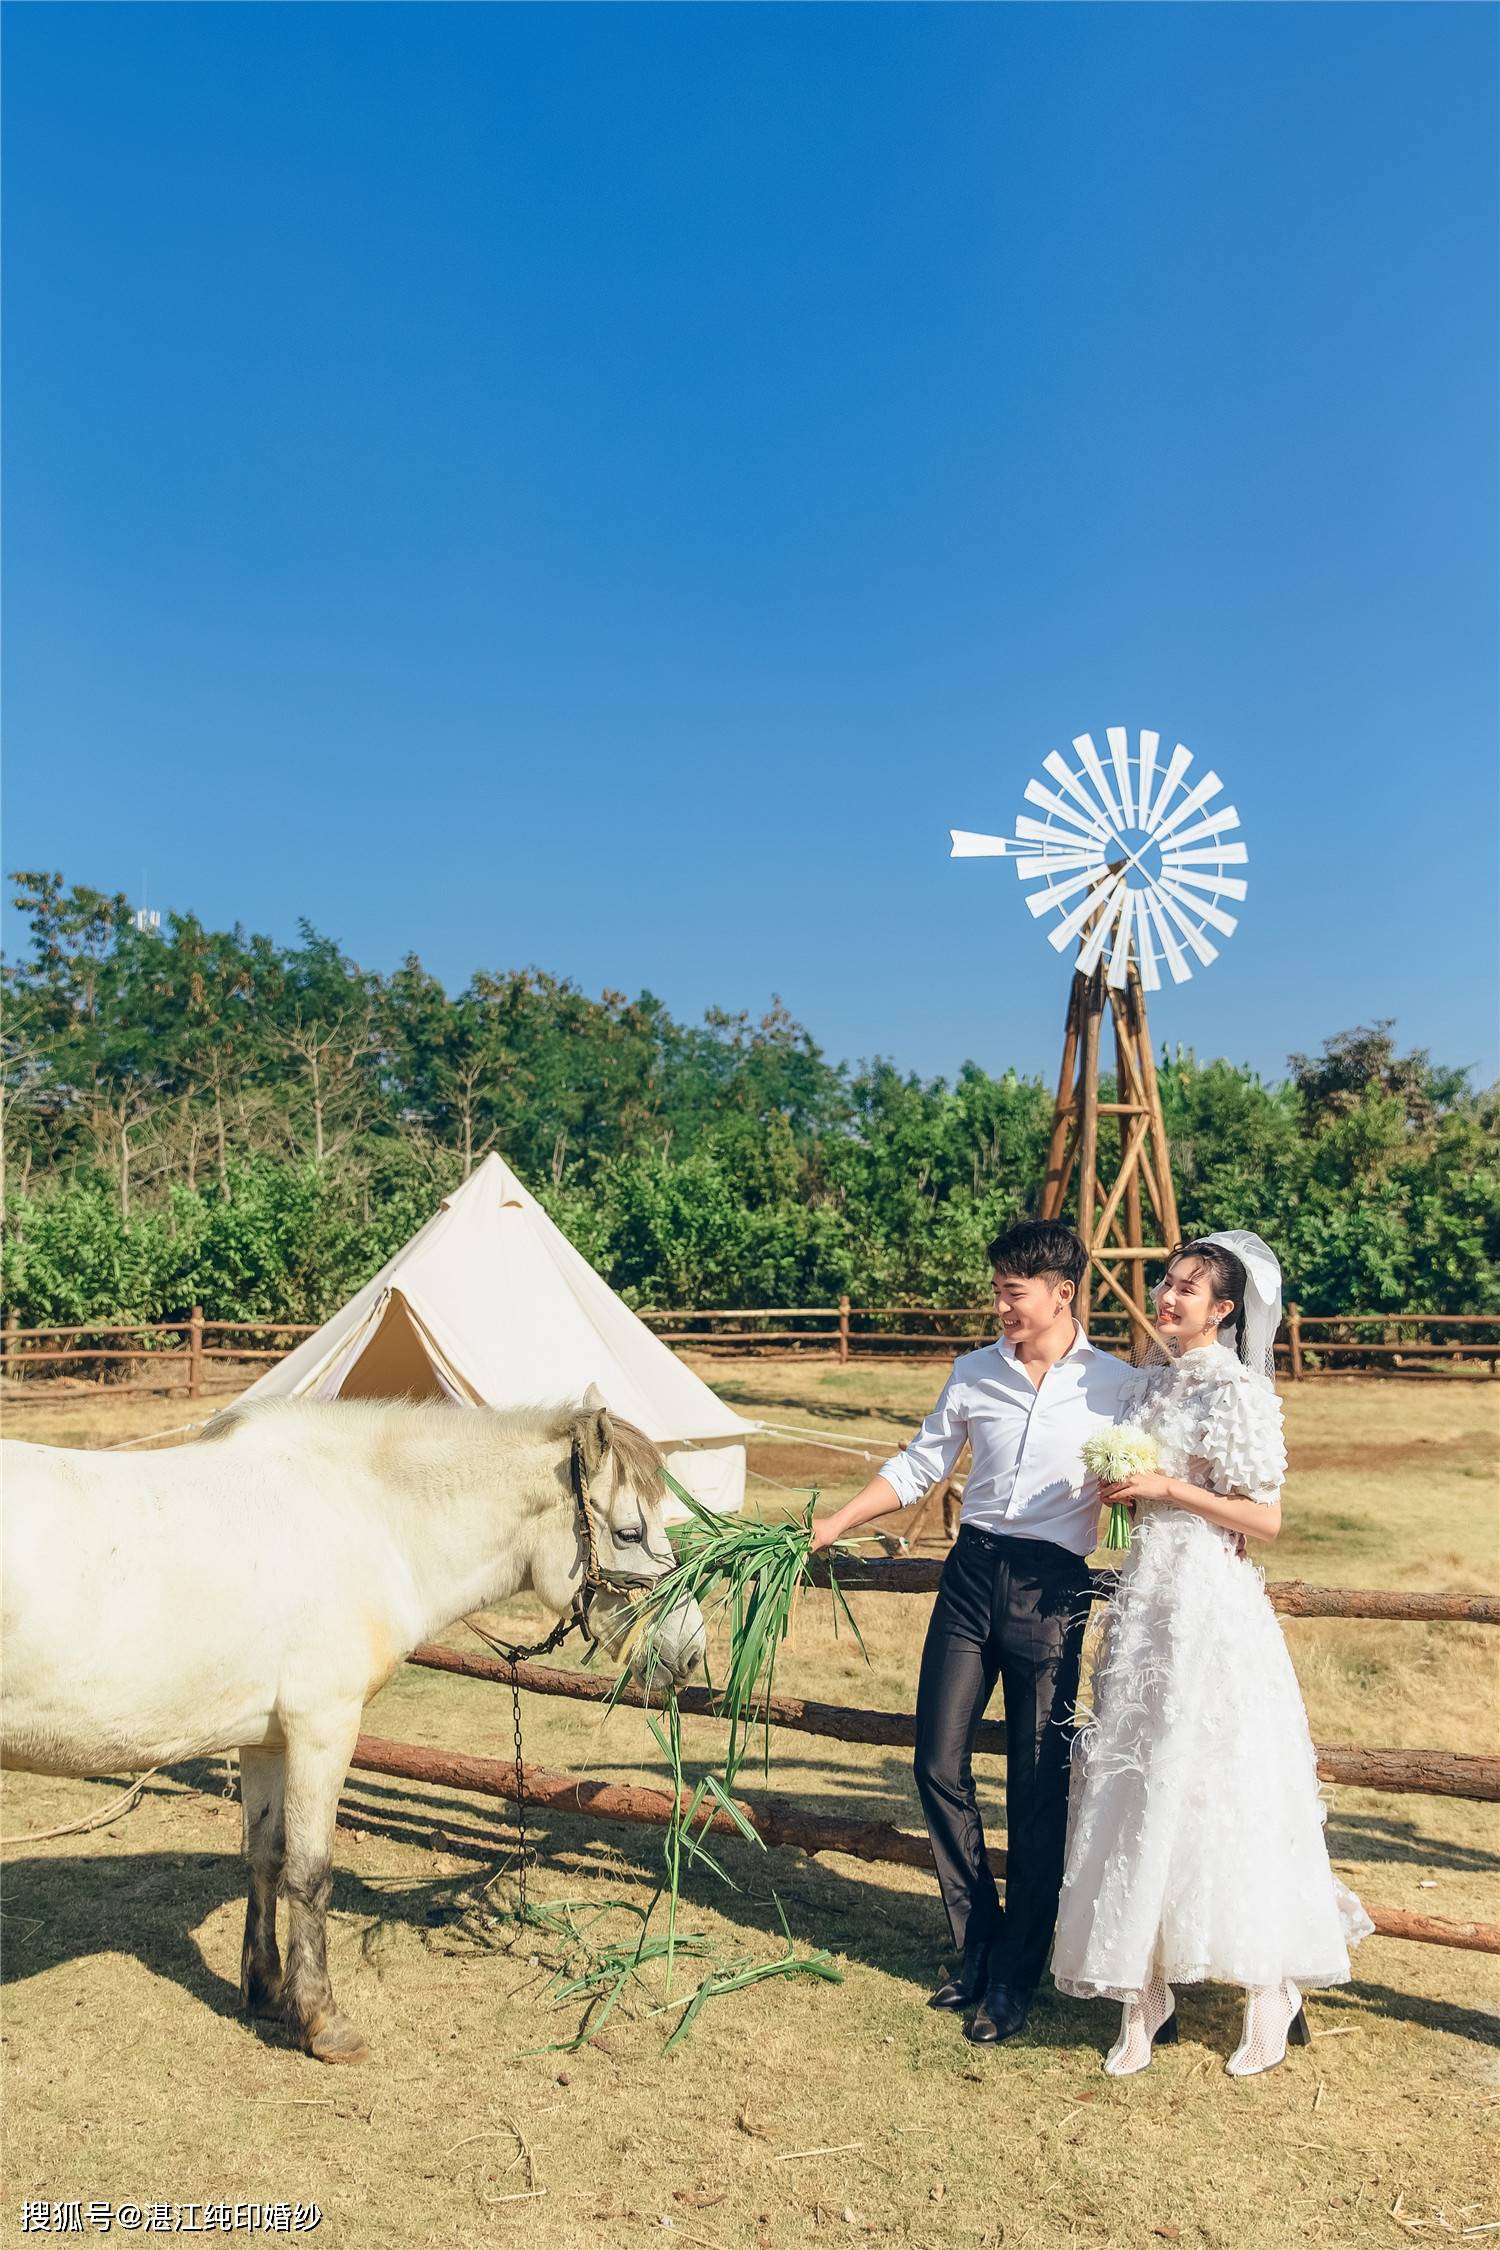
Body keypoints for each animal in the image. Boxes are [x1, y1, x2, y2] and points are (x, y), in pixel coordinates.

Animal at [1, 1395, 706, 2061]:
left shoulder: (267, 1739)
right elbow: (310, 1872)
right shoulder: (323, 1729)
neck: (360, 1521)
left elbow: (265, 1856)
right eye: (630, 1531)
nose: (691, 1649)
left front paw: (266, 1992)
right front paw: (322, 2021)